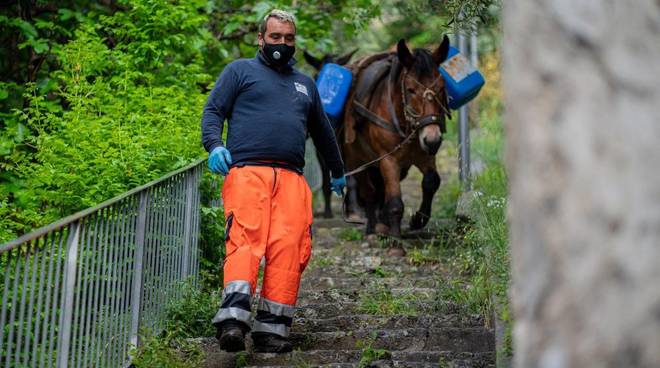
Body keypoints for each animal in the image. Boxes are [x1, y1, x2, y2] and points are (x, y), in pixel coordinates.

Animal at [340, 35, 454, 236]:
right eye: (410, 90)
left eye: (441, 88)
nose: (432, 139)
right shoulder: (388, 160)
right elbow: (394, 202)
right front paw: (395, 239)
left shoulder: (424, 156)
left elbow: (432, 181)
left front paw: (418, 219)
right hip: (356, 159)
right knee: (369, 191)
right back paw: (372, 228)